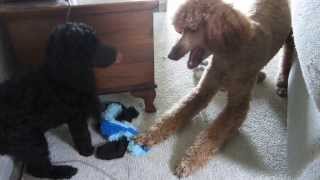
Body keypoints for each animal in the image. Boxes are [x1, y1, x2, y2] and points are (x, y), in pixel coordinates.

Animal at [0, 22, 121, 179]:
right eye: (91, 46)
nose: (116, 53)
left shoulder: (90, 100)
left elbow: (99, 113)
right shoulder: (76, 116)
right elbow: (83, 134)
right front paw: (87, 150)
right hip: (31, 140)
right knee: (38, 168)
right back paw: (66, 171)